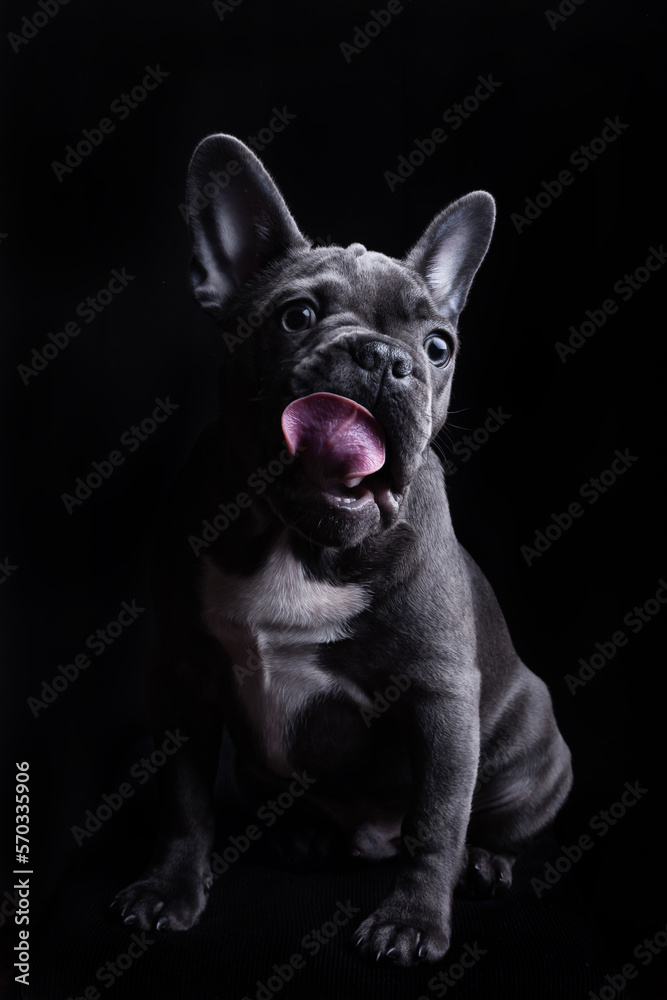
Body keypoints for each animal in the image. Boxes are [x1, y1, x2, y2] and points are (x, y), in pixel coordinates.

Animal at [115, 137, 576, 964]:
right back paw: (302, 839)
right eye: (296, 316)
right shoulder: (180, 675)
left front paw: (412, 921)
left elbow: (435, 821)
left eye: (437, 347)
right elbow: (184, 799)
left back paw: (484, 863)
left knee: (486, 823)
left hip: (532, 747)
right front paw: (169, 889)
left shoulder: (438, 695)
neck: (296, 538)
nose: (385, 358)